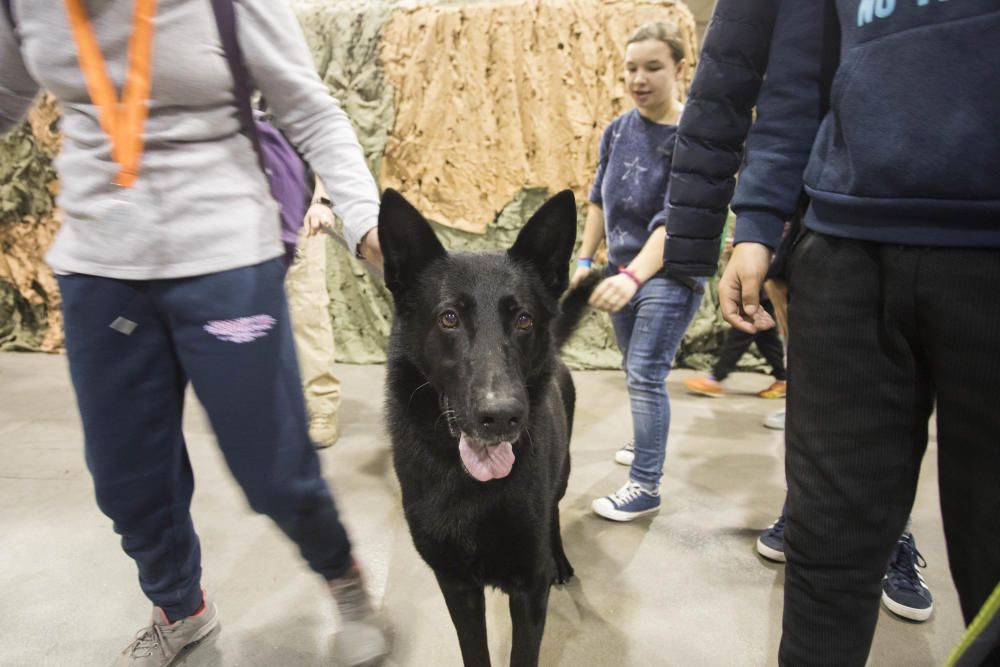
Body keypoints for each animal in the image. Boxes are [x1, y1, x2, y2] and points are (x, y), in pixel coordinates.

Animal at [376, 188, 592, 667]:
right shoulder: (456, 585)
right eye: (449, 318)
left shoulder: (529, 591)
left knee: (554, 511)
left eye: (524, 319)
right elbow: (474, 650)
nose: (502, 417)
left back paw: (561, 560)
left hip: (564, 471)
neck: (472, 489)